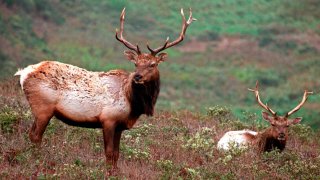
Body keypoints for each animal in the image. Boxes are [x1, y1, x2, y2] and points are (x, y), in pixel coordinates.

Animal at [15, 7, 196, 169]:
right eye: (136, 64)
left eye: (152, 64)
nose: (137, 77)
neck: (133, 104)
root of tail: (24, 73)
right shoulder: (108, 119)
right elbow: (109, 153)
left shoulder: (120, 125)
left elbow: (116, 154)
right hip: (43, 108)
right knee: (35, 136)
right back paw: (36, 162)